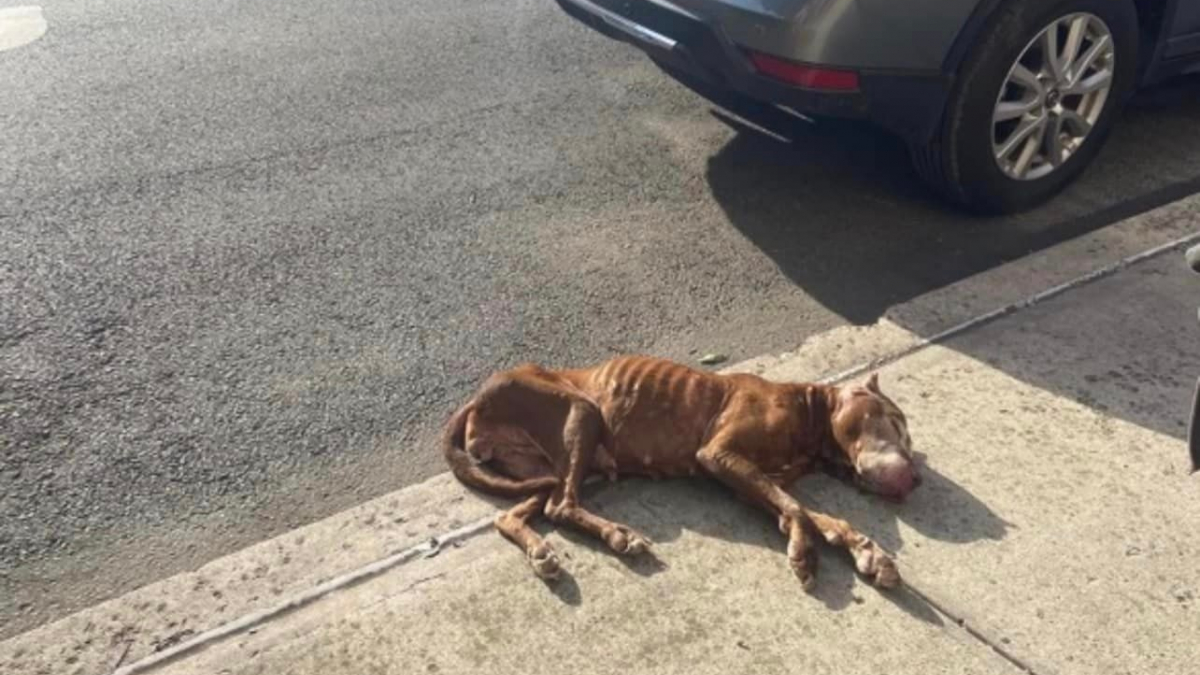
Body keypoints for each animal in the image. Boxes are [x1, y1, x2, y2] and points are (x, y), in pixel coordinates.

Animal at [441, 355, 916, 586]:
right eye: (895, 422)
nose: (917, 478)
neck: (810, 415)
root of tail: (475, 399)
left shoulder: (750, 480)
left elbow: (811, 514)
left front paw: (865, 550)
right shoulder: (720, 456)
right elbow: (798, 510)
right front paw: (804, 551)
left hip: (543, 467)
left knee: (517, 513)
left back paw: (540, 552)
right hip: (581, 410)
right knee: (561, 506)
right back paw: (617, 535)